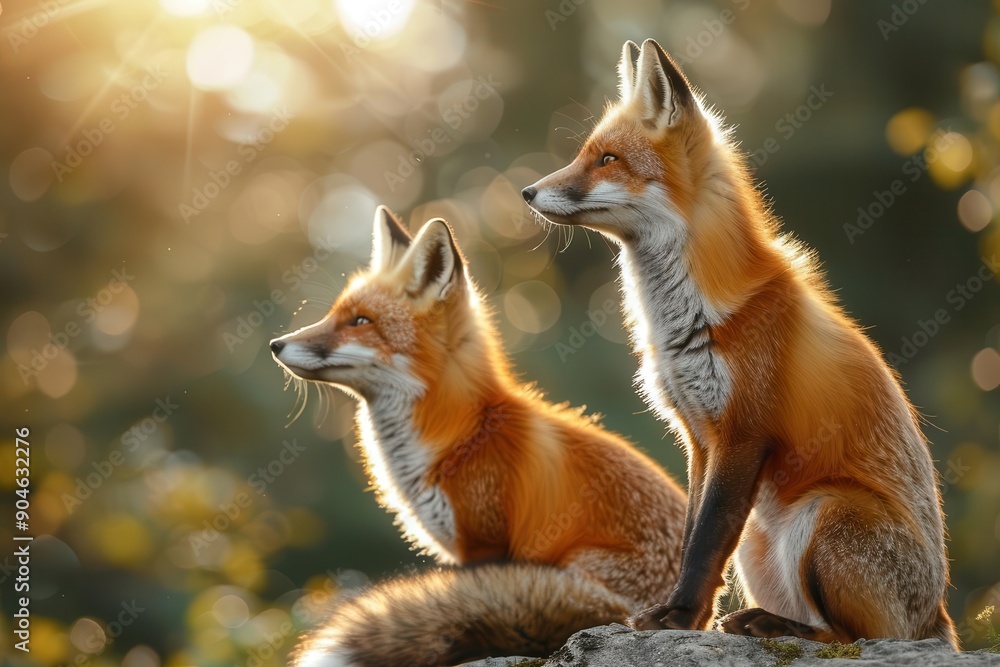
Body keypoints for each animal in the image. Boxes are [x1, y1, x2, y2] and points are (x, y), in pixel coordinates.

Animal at [522, 39, 958, 648]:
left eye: (607, 160)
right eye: (587, 154)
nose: (526, 191)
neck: (686, 320)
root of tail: (937, 617)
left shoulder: (745, 432)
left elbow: (706, 542)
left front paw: (679, 619)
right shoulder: (698, 438)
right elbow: (692, 539)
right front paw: (687, 618)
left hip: (825, 511)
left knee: (852, 637)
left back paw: (776, 625)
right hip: (760, 534)